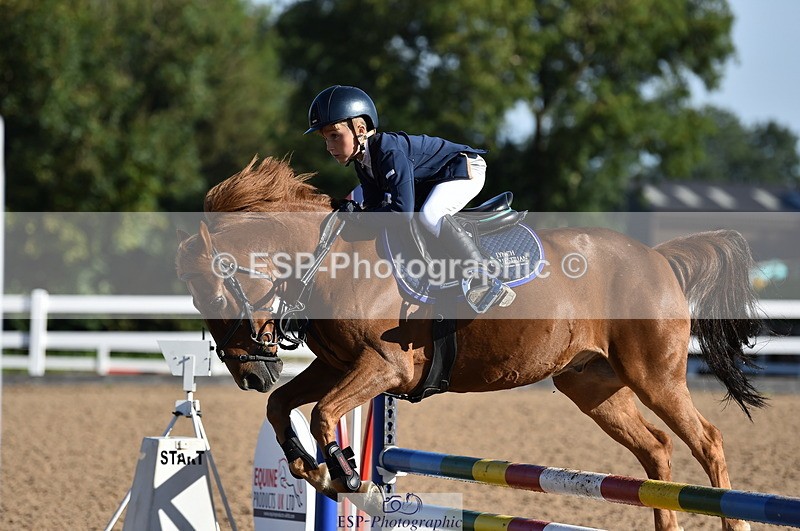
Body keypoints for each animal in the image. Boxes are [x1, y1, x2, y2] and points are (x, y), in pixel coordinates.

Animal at [176, 156, 766, 531]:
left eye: (213, 290)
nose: (250, 373)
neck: (330, 260)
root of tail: (658, 258)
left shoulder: (386, 366)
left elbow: (322, 414)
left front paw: (351, 481)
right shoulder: (338, 365)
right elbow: (284, 407)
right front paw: (310, 468)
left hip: (654, 376)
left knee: (707, 442)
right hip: (594, 387)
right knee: (657, 449)